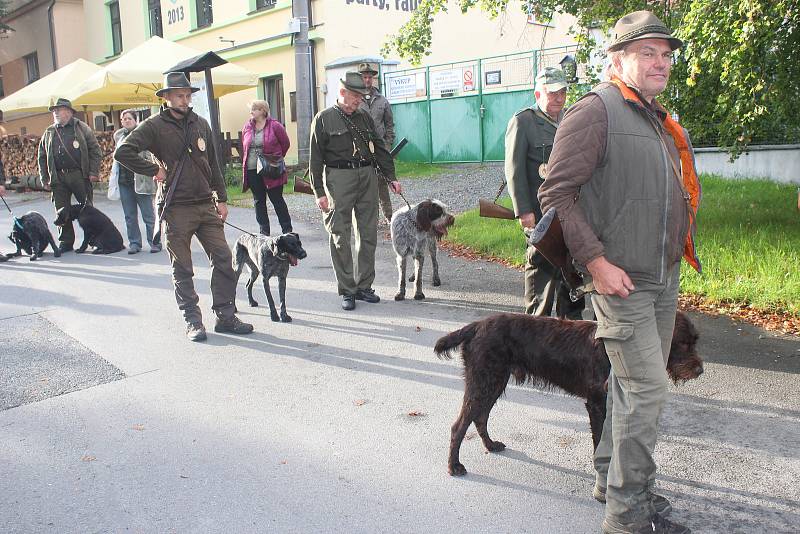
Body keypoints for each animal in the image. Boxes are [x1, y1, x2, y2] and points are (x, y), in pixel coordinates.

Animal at [434, 312, 704, 480]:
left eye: (695, 341)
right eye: (682, 343)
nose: (700, 370)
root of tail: (476, 326)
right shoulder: (596, 404)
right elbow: (599, 442)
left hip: (494, 382)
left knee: (480, 417)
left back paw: (490, 445)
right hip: (484, 382)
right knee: (459, 425)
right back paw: (454, 466)